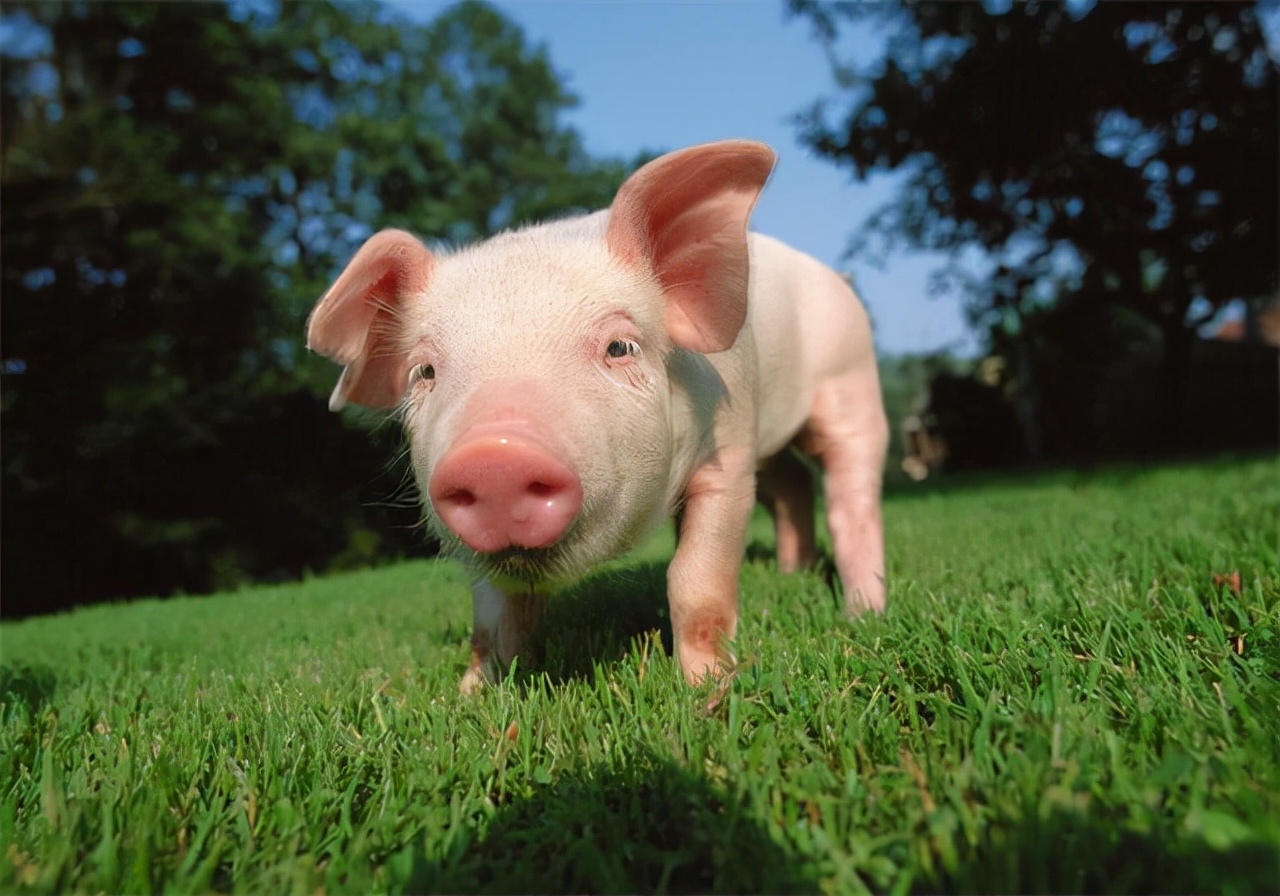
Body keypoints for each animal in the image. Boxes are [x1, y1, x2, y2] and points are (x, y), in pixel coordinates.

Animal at [311, 140, 890, 691]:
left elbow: (695, 577)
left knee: (850, 493)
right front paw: (471, 694)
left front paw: (707, 688)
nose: (495, 456)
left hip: (852, 379)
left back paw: (864, 613)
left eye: (619, 347)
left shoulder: (729, 450)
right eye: (424, 371)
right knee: (793, 484)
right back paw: (794, 577)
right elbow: (494, 614)